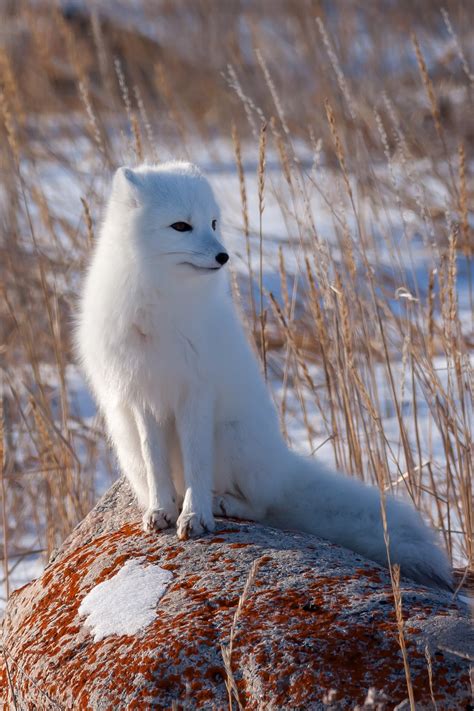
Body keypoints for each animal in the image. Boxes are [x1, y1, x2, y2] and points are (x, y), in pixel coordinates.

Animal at [77, 161, 452, 588]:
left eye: (213, 222)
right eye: (181, 226)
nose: (223, 256)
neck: (160, 301)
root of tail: (282, 464)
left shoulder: (197, 392)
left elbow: (197, 463)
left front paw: (195, 516)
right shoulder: (141, 395)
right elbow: (156, 463)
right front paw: (162, 511)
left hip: (232, 437)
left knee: (260, 506)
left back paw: (223, 503)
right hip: (130, 449)